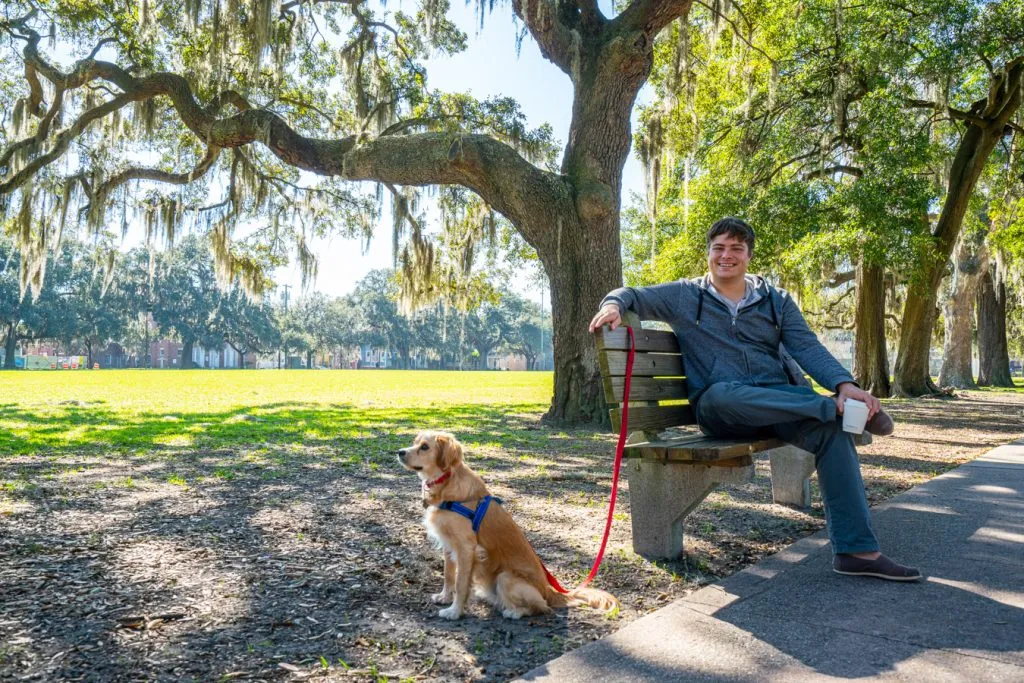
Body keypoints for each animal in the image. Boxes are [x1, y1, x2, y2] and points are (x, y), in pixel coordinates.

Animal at [395, 432, 614, 618]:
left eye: (424, 447)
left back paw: (513, 612)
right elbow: (448, 575)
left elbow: (460, 583)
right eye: (415, 442)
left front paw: (455, 612)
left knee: (541, 607)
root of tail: (549, 590)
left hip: (506, 577)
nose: (400, 452)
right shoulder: (449, 544)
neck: (446, 483)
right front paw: (444, 597)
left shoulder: (466, 547)